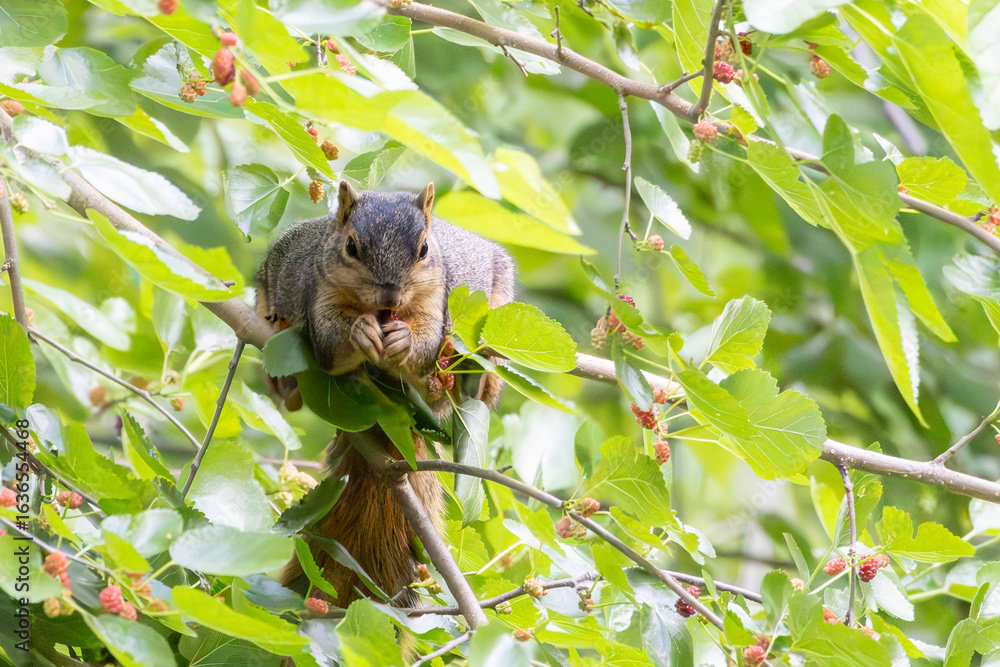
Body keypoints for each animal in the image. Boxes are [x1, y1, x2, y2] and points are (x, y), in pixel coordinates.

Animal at [256, 180, 514, 610]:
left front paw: (405, 340)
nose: (390, 299)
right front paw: (358, 330)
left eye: (424, 249)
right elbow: (330, 343)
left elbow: (424, 344)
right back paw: (284, 374)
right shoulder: (319, 294)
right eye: (351, 246)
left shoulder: (435, 301)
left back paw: (474, 379)